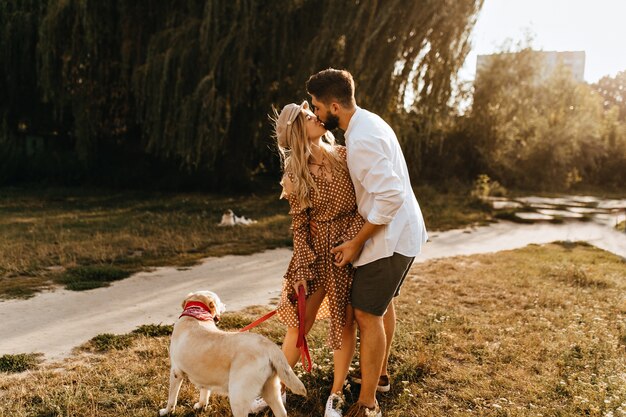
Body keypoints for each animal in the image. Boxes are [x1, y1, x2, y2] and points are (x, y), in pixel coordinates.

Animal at [160, 290, 306, 414]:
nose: (225, 305)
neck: (197, 316)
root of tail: (268, 345)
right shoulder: (204, 376)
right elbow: (204, 392)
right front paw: (202, 405)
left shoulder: (176, 372)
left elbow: (172, 398)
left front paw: (166, 411)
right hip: (271, 391)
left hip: (238, 396)